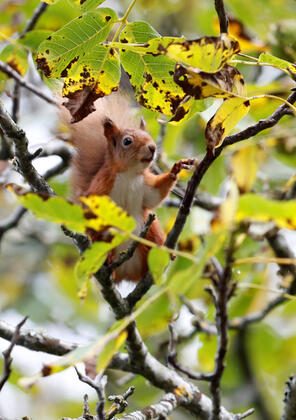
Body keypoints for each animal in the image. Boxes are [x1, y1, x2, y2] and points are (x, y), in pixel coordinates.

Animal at [65, 93, 193, 280]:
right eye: (127, 141)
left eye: (148, 135)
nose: (152, 147)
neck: (129, 176)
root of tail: (128, 273)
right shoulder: (102, 183)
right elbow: (89, 206)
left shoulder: (145, 184)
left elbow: (155, 195)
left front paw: (175, 169)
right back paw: (108, 260)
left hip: (150, 229)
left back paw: (166, 252)